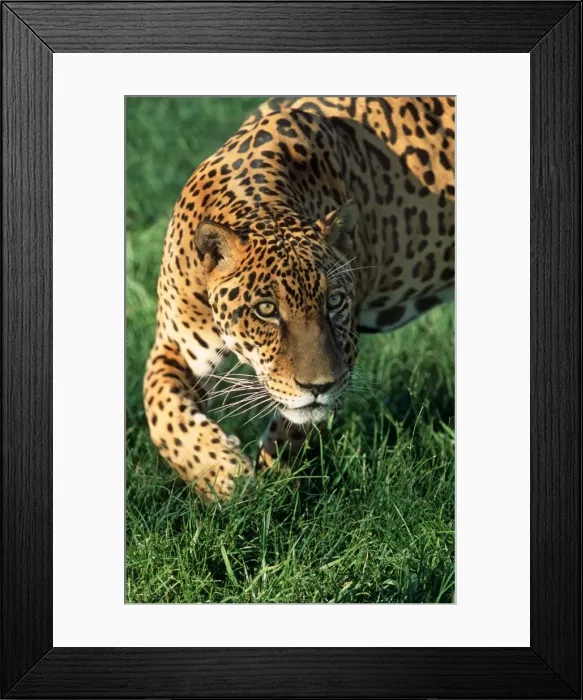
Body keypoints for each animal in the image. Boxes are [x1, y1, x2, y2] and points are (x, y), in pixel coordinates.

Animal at [143, 96, 455, 499]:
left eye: (334, 303)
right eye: (266, 310)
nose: (318, 387)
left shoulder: (345, 349)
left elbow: (294, 428)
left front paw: (273, 486)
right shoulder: (176, 343)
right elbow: (163, 414)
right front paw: (224, 478)